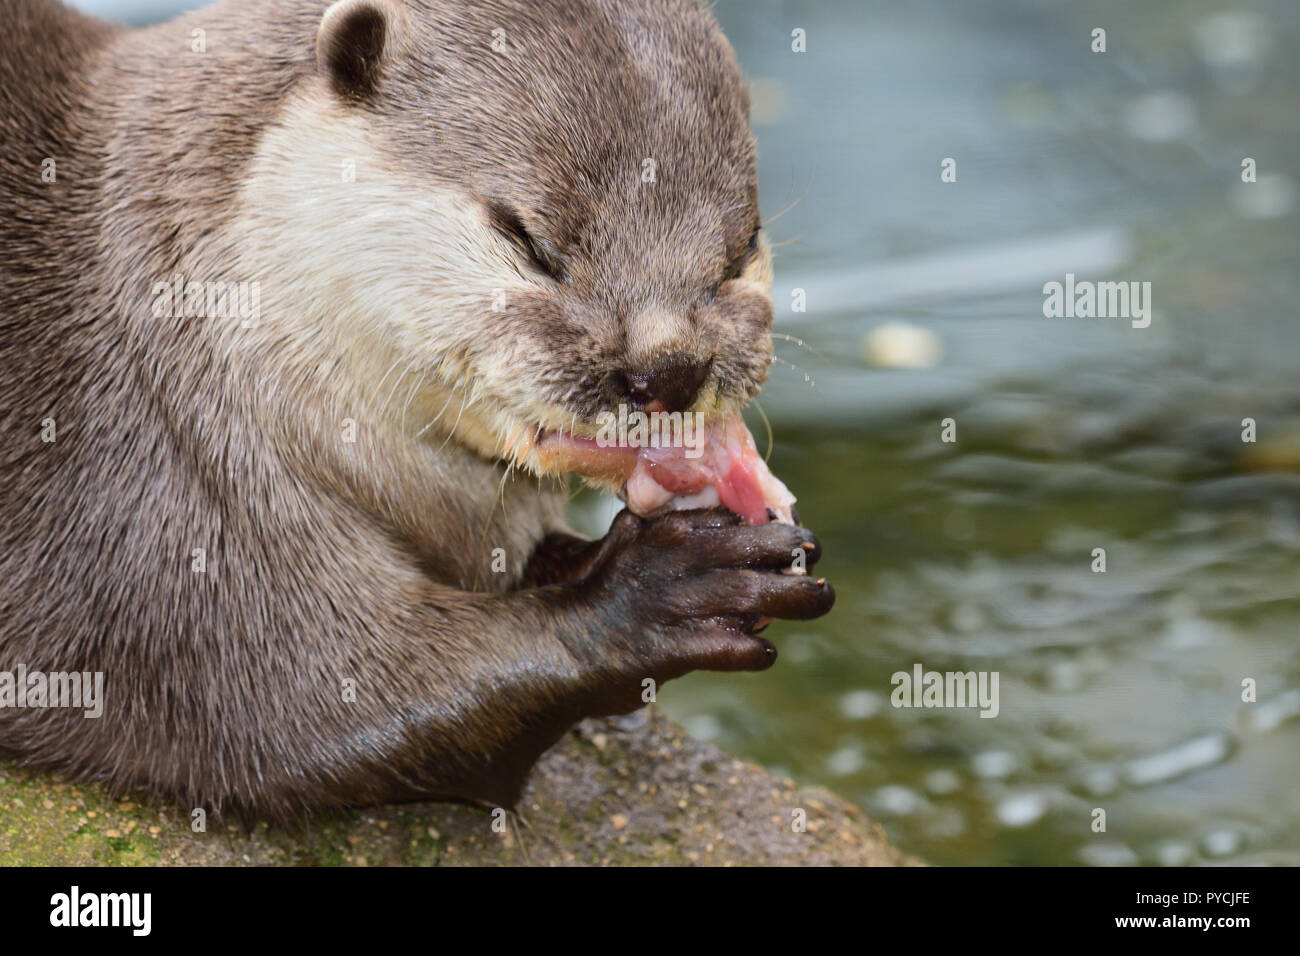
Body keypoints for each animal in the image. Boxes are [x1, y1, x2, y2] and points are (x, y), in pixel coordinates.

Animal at [0, 0, 832, 822]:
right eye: (529, 242)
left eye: (741, 249)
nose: (669, 369)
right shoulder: (163, 532)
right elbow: (306, 703)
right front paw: (665, 590)